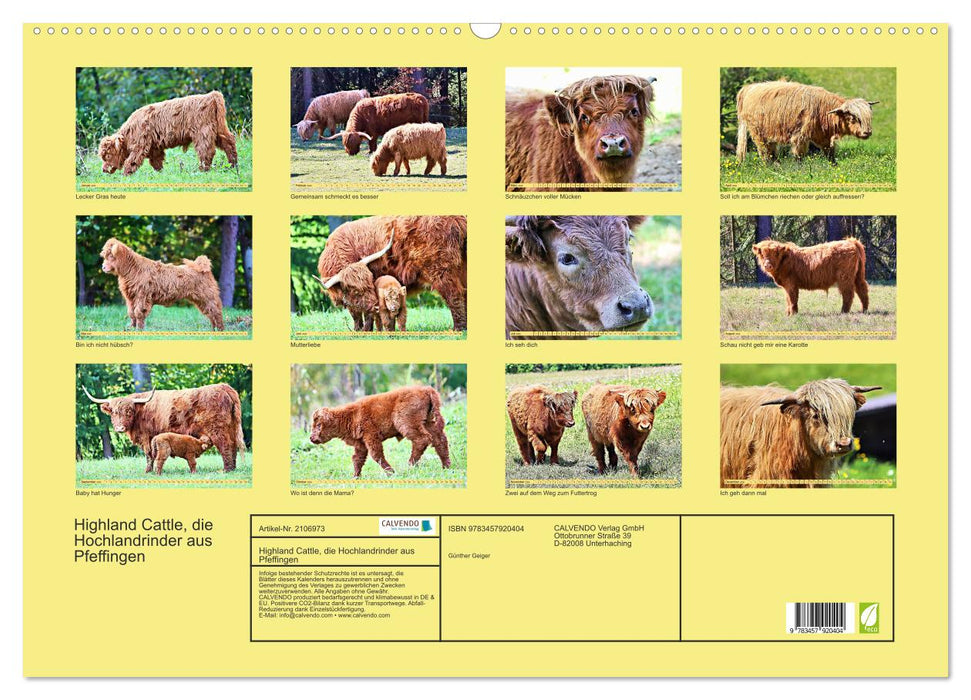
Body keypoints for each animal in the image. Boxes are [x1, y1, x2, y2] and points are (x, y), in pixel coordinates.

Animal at [82, 383, 246, 473]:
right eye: (115, 412)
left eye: (129, 412)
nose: (120, 428)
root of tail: (224, 387)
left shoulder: (147, 437)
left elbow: (149, 455)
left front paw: (148, 471)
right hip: (231, 427)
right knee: (233, 446)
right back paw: (233, 468)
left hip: (217, 429)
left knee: (225, 446)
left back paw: (226, 470)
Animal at [98, 91, 238, 175]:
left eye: (108, 155)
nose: (104, 170)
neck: (128, 133)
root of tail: (211, 96)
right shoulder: (154, 148)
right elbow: (156, 162)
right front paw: (160, 173)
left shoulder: (140, 145)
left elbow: (132, 160)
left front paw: (125, 175)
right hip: (218, 130)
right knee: (229, 143)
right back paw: (233, 165)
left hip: (202, 132)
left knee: (206, 151)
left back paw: (202, 170)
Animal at [309, 385, 450, 478]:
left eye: (318, 425)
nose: (311, 438)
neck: (351, 415)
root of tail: (426, 389)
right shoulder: (361, 443)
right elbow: (357, 459)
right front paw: (355, 476)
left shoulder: (371, 436)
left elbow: (376, 455)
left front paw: (391, 473)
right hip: (428, 422)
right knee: (439, 440)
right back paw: (446, 467)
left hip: (406, 423)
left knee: (422, 439)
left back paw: (410, 465)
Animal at [316, 215, 467, 331]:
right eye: (356, 291)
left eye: (369, 284)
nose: (375, 305)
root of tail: (457, 219)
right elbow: (358, 312)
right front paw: (361, 329)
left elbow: (361, 313)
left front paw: (364, 330)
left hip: (441, 270)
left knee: (454, 296)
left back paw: (457, 329)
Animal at [736, 81, 879, 164]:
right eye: (853, 118)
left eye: (869, 117)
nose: (867, 132)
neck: (823, 112)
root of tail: (749, 88)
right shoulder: (800, 137)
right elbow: (799, 155)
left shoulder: (823, 137)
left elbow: (830, 153)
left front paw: (834, 165)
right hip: (757, 133)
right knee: (764, 152)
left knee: (771, 151)